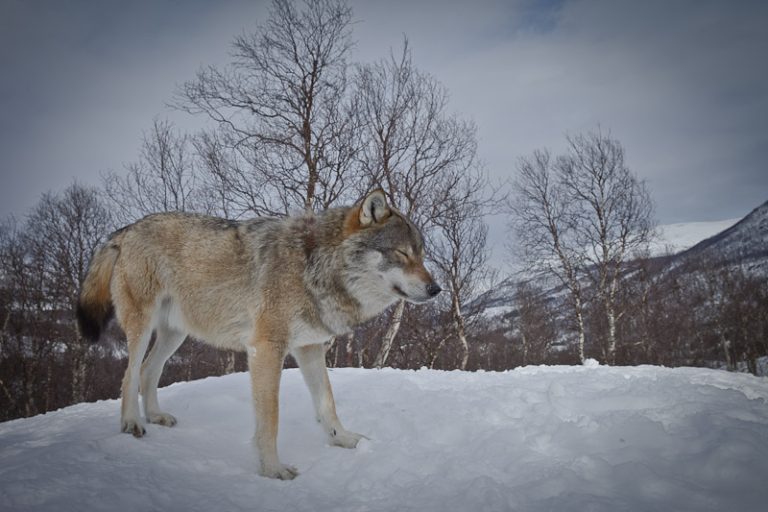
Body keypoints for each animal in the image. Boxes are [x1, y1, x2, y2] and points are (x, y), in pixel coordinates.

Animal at [76, 190, 441, 479]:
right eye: (403, 254)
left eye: (422, 256)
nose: (436, 289)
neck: (313, 266)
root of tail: (126, 229)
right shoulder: (266, 349)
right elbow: (271, 420)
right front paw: (272, 469)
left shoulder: (310, 348)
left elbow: (327, 403)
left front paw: (343, 439)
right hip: (143, 325)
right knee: (130, 374)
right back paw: (131, 424)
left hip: (175, 335)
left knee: (149, 370)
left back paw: (155, 416)